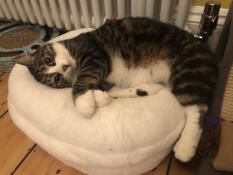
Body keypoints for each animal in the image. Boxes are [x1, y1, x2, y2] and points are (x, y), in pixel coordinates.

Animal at [14, 17, 218, 162]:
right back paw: (146, 88)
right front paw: (98, 97)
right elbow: (103, 88)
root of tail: (207, 50)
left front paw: (83, 104)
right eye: (56, 79)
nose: (63, 68)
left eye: (49, 61)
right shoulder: (101, 76)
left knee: (197, 110)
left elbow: (84, 79)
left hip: (187, 71)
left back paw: (185, 147)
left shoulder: (95, 55)